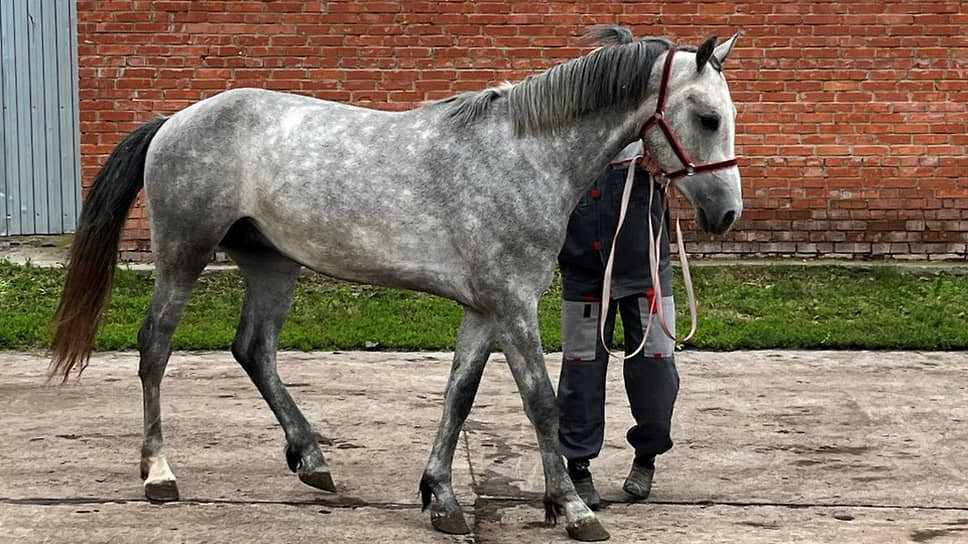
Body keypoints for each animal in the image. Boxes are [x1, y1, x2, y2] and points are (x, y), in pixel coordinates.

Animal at [50, 26, 742, 542]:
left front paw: (441, 497)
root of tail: (175, 120)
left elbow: (459, 396)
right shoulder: (512, 303)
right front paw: (572, 509)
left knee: (254, 350)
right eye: (707, 117)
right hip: (183, 257)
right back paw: (159, 474)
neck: (523, 156)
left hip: (272, 264)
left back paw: (313, 460)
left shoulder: (485, 309)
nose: (726, 213)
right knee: (155, 348)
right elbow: (541, 401)